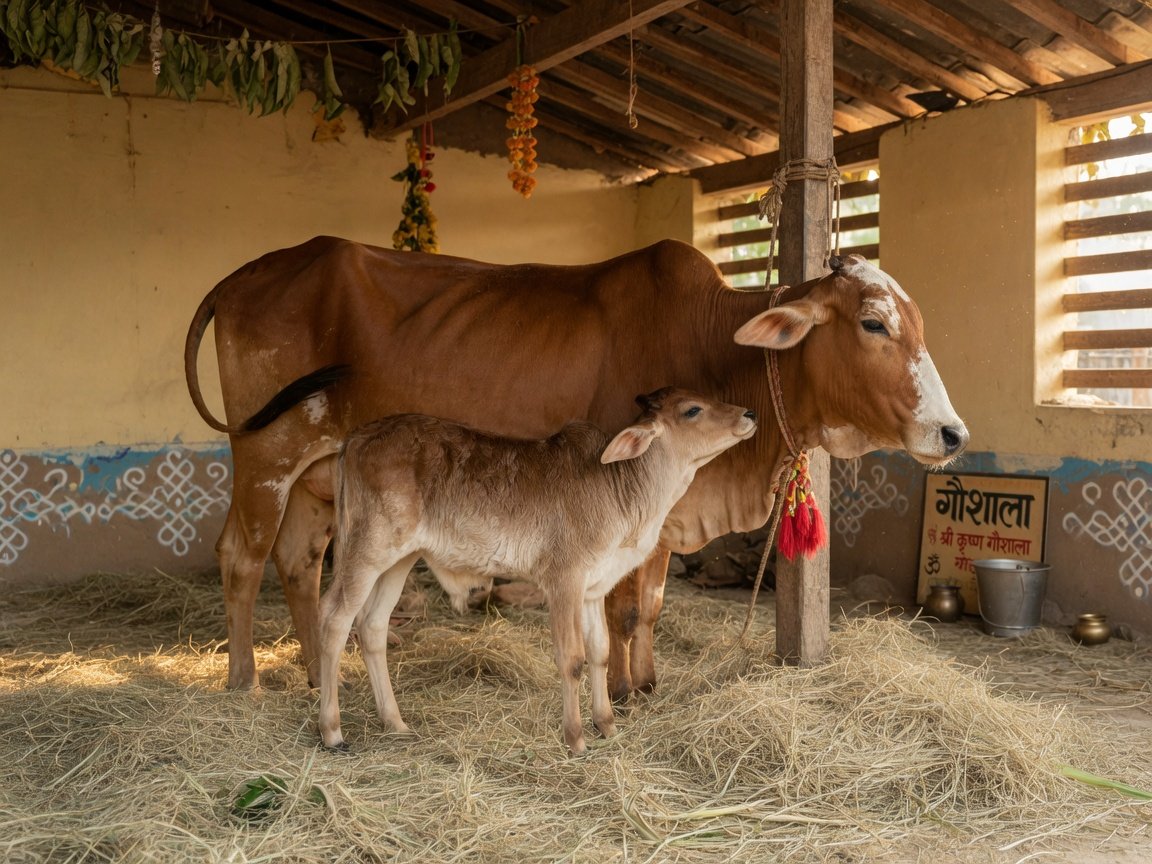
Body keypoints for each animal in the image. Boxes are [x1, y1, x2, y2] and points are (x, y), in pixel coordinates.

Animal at [184, 236, 968, 696]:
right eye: (873, 323)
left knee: (298, 561)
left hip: (320, 478)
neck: (717, 342)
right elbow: (620, 609)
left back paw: (315, 669)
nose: (952, 433)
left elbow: (652, 604)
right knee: (242, 556)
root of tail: (244, 272)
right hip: (267, 456)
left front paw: (646, 684)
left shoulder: (666, 508)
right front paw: (617, 691)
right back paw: (245, 682)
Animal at [317, 388, 758, 753]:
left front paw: (607, 725)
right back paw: (332, 732)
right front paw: (576, 738)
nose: (750, 412)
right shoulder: (564, 580)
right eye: (693, 409)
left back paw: (395, 723)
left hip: (400, 559)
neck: (622, 489)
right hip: (368, 548)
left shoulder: (593, 588)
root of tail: (356, 438)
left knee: (373, 625)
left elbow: (600, 652)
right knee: (334, 617)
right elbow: (572, 658)